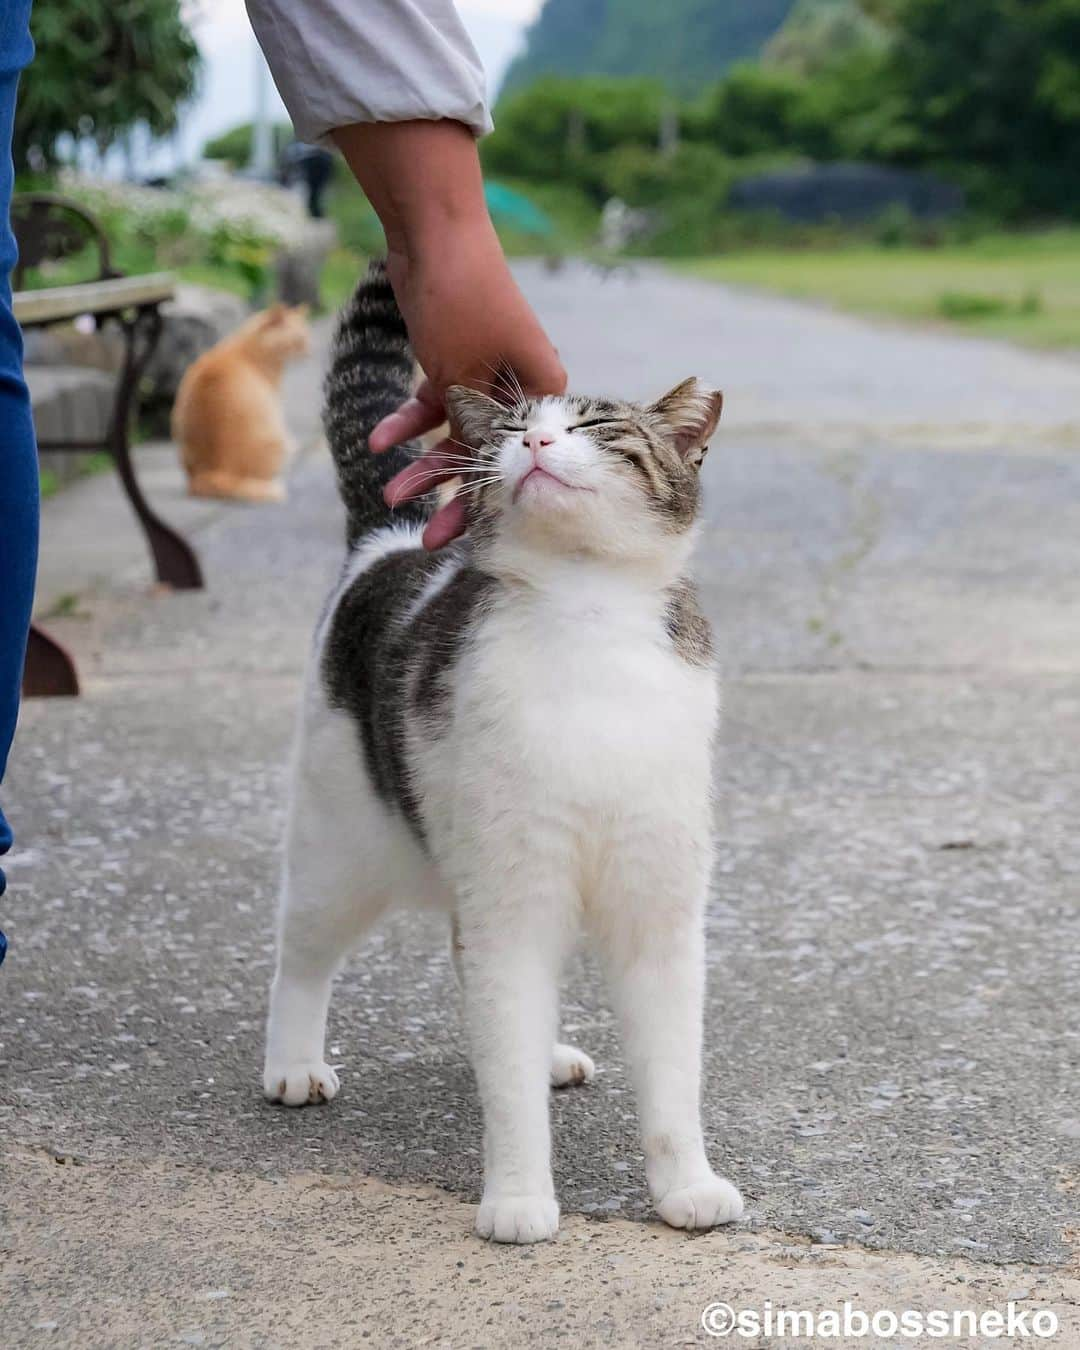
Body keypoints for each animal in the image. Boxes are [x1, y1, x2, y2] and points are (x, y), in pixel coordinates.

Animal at [170, 303, 310, 504]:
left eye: (307, 337)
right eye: (299, 340)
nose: (310, 350)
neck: (250, 345)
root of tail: (218, 473)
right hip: (279, 437)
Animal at [265, 260, 745, 1242]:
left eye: (595, 427)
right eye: (516, 428)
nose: (535, 442)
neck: (589, 616)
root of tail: (389, 536)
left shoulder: (657, 909)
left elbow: (672, 1081)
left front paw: (685, 1186)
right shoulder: (512, 902)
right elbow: (508, 1084)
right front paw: (520, 1198)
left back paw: (551, 1048)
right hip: (341, 849)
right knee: (302, 954)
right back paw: (291, 1061)